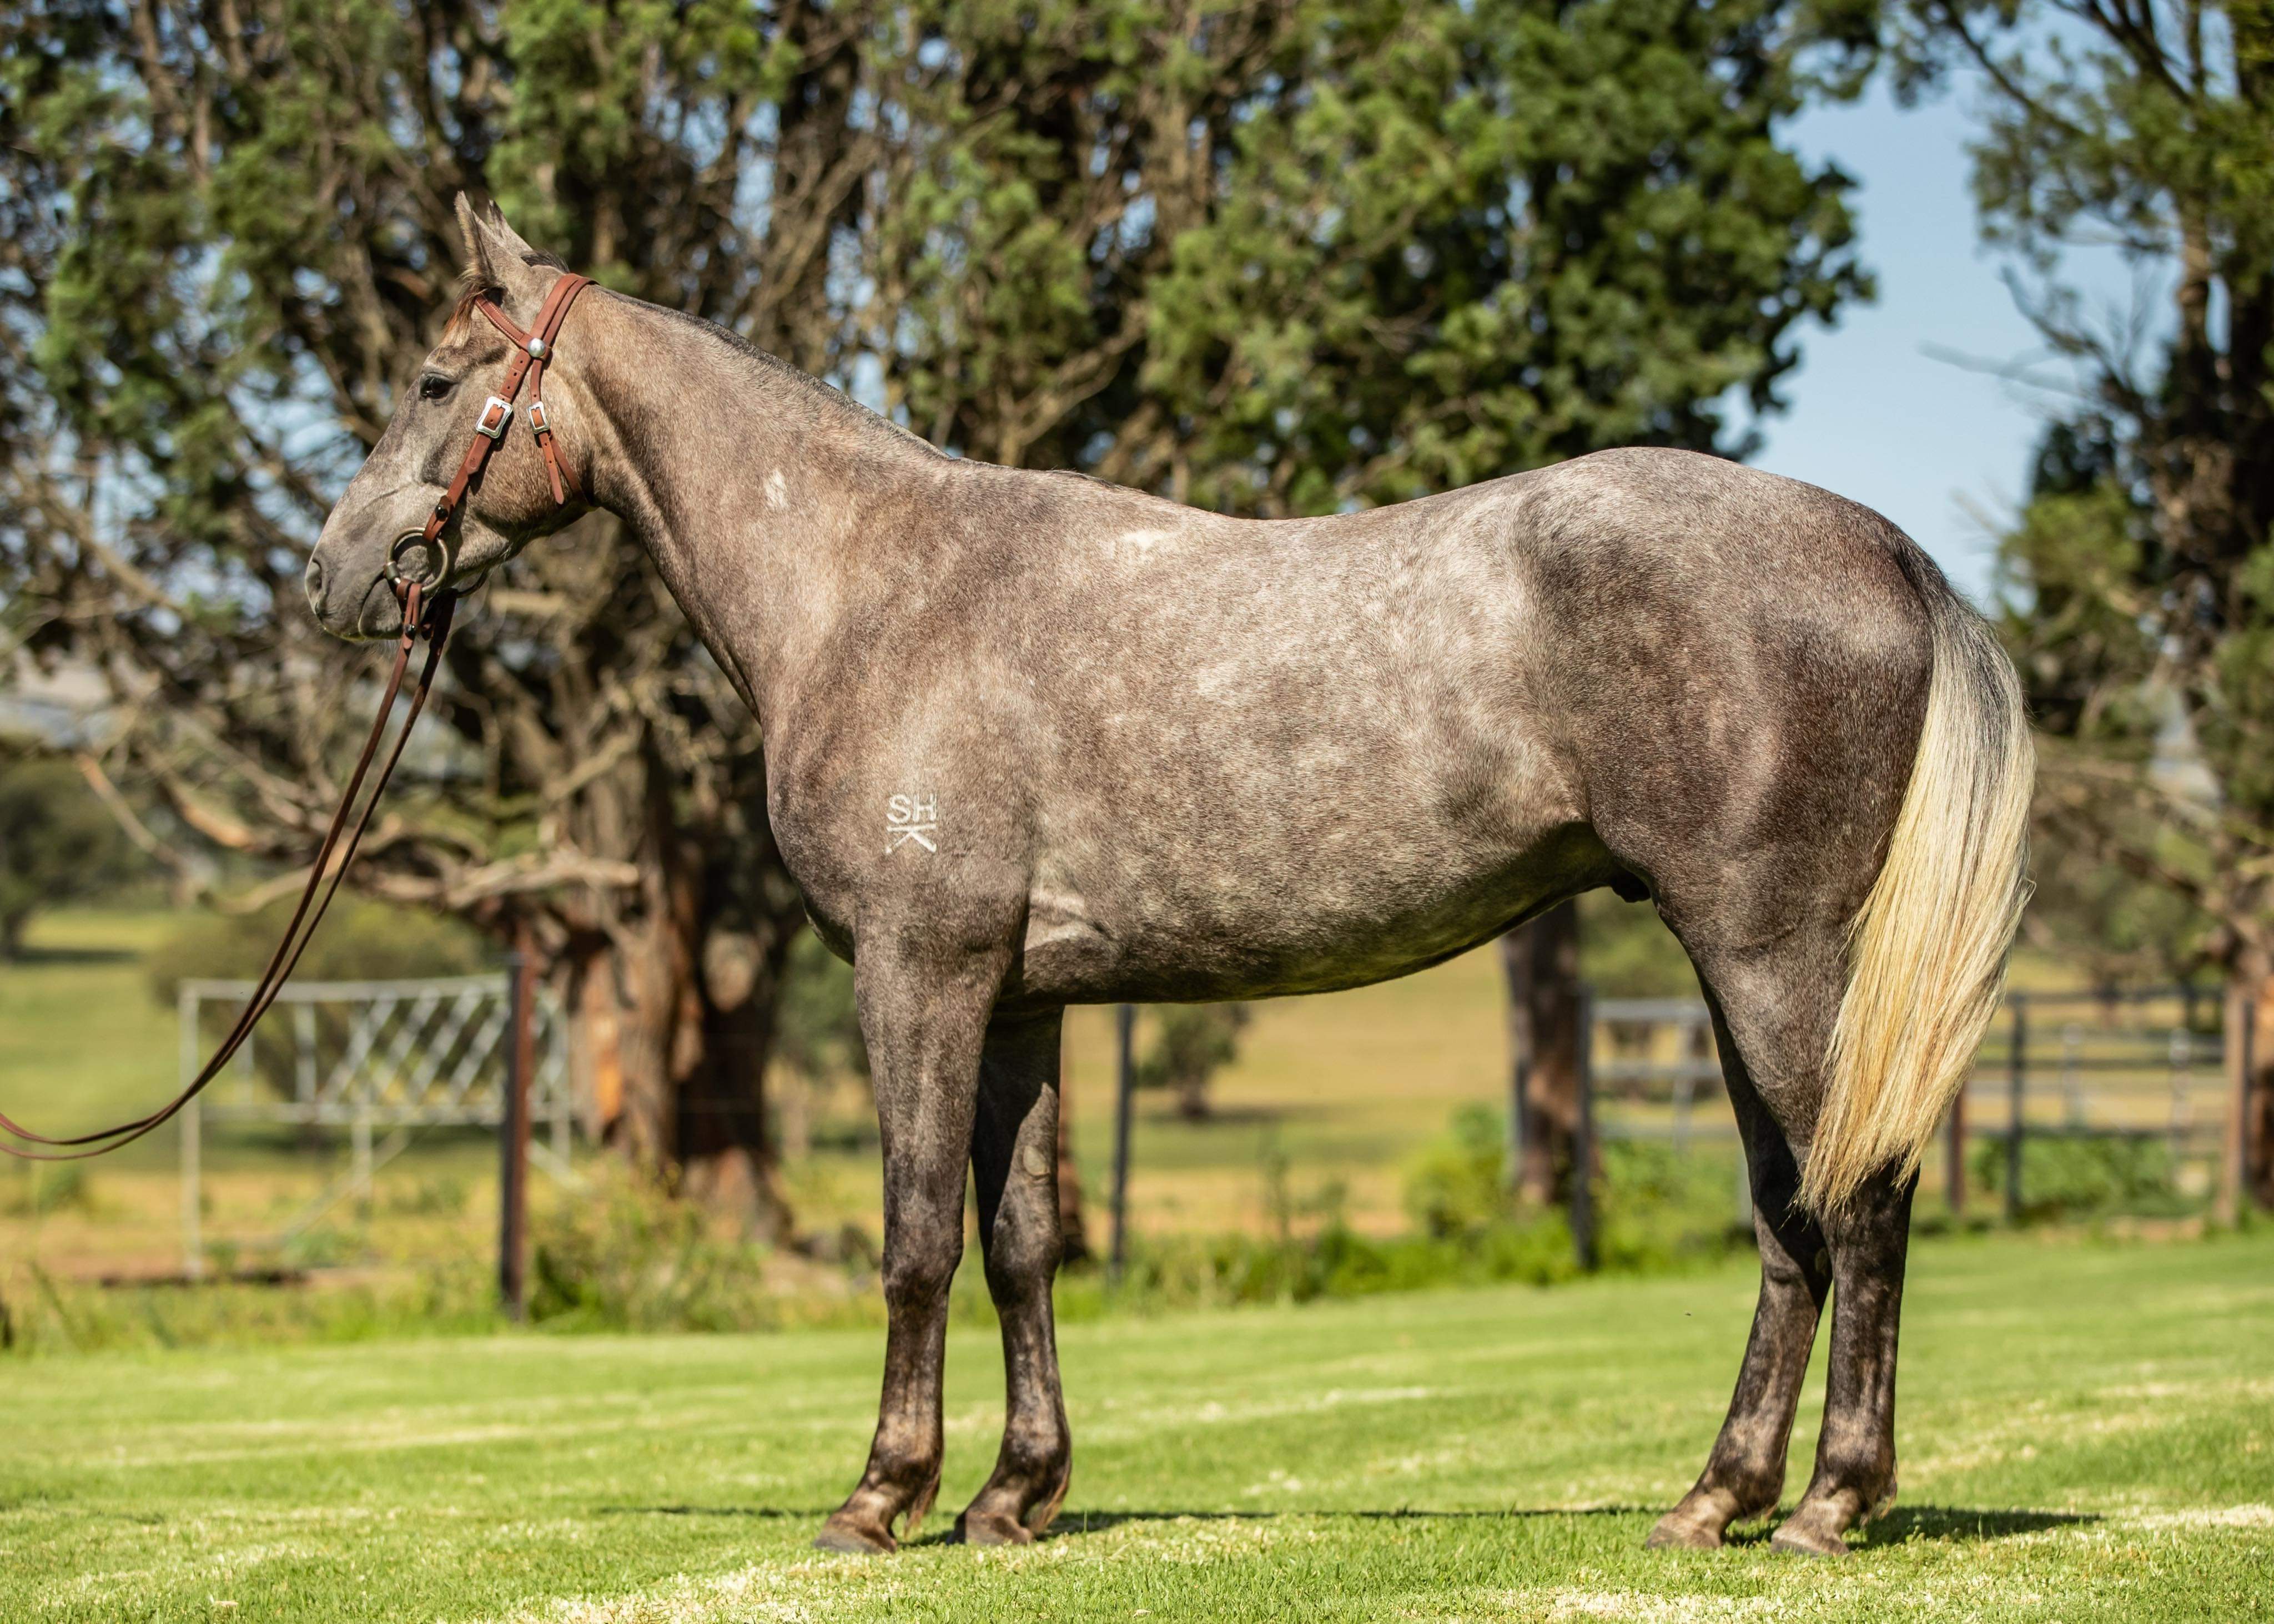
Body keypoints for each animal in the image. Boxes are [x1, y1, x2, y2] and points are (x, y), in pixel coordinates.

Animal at [306, 196, 2032, 1559]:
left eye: (435, 378)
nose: (336, 575)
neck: (873, 586)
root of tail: (1882, 547)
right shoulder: (1019, 1001)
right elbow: (1021, 1243)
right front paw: (1014, 1496)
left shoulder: (918, 974)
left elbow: (916, 1237)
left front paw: (881, 1496)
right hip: (1738, 966)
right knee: (1788, 1217)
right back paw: (1715, 1498)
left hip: (1773, 957)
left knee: (1862, 1197)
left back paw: (1830, 1503)